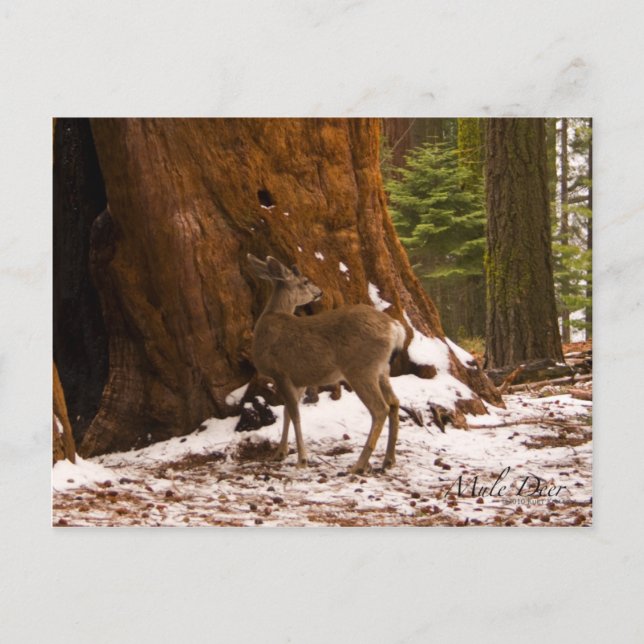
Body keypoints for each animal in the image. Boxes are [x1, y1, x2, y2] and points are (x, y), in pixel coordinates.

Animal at [247, 254, 406, 474]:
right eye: (306, 281)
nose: (319, 292)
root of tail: (395, 328)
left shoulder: (281, 372)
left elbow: (295, 414)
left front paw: (302, 459)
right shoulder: (298, 378)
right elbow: (288, 412)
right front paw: (280, 453)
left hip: (361, 368)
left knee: (380, 409)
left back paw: (359, 465)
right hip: (382, 369)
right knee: (394, 402)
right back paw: (388, 460)